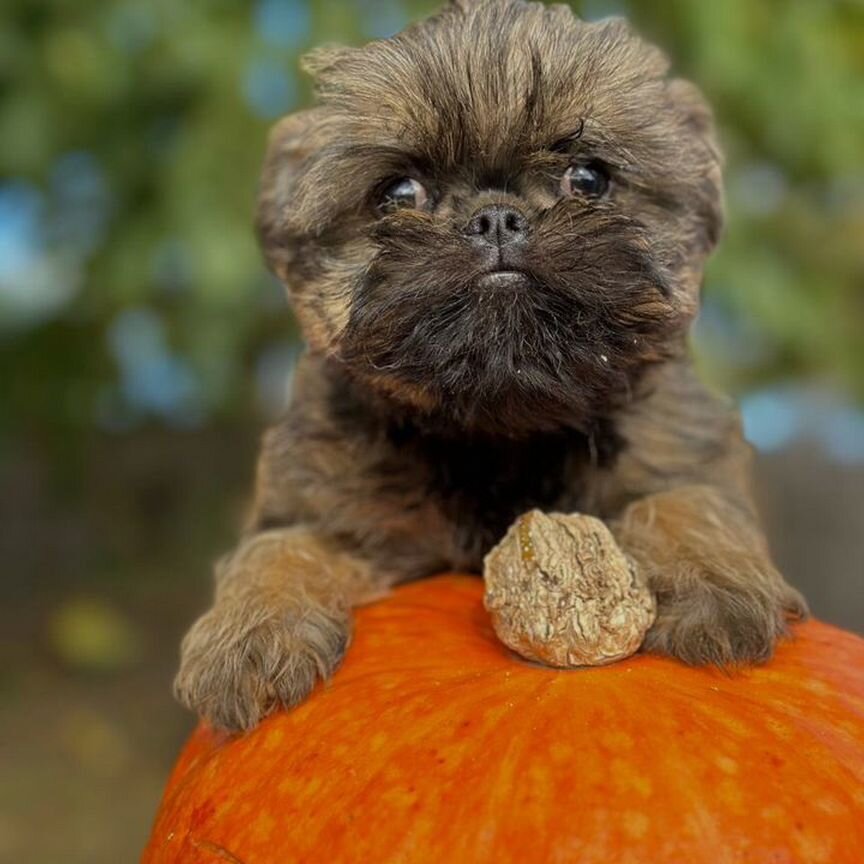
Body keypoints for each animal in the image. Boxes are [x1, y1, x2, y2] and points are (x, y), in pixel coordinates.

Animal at [172, 0, 808, 736]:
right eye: (399, 194)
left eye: (588, 180)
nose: (496, 216)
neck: (498, 427)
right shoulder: (320, 500)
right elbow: (278, 547)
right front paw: (251, 632)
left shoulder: (677, 445)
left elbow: (685, 500)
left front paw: (717, 581)